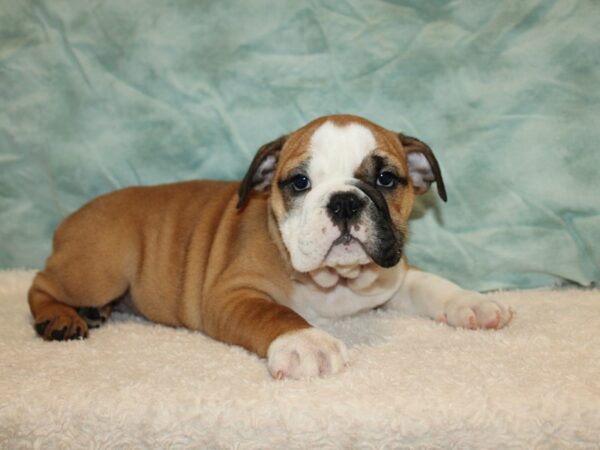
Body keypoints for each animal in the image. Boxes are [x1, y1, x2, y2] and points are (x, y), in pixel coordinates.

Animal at [29, 115, 510, 380]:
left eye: (386, 179)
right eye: (299, 182)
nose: (344, 201)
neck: (336, 282)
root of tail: (73, 219)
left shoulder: (392, 275)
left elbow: (433, 284)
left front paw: (474, 303)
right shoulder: (232, 294)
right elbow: (275, 313)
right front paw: (306, 343)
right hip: (99, 268)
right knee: (40, 284)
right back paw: (62, 318)